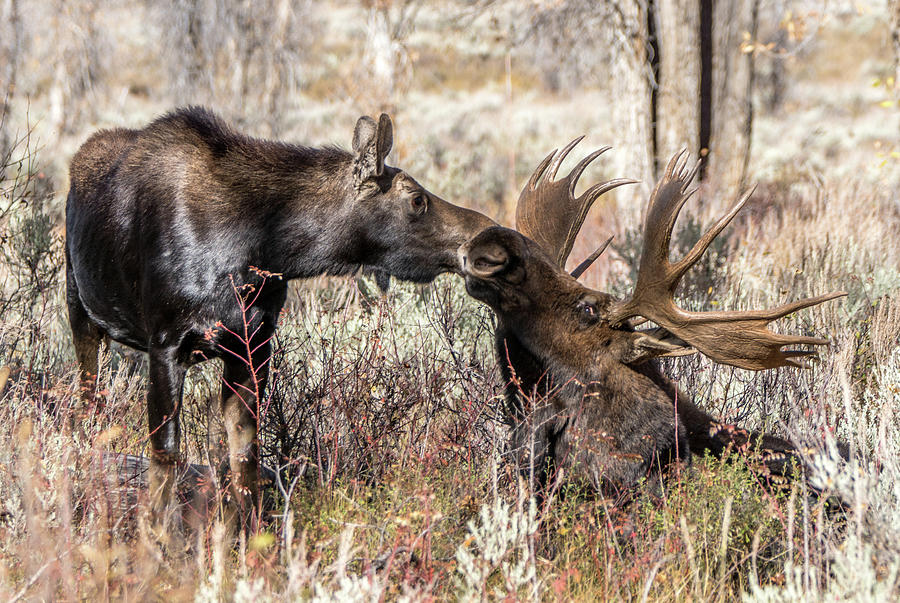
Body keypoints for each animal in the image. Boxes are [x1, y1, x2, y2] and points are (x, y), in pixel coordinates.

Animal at [66, 106, 496, 532]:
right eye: (417, 200)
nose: (484, 235)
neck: (268, 249)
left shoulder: (252, 345)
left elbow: (244, 457)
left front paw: (246, 536)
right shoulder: (166, 343)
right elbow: (166, 458)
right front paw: (159, 540)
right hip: (81, 313)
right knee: (87, 405)